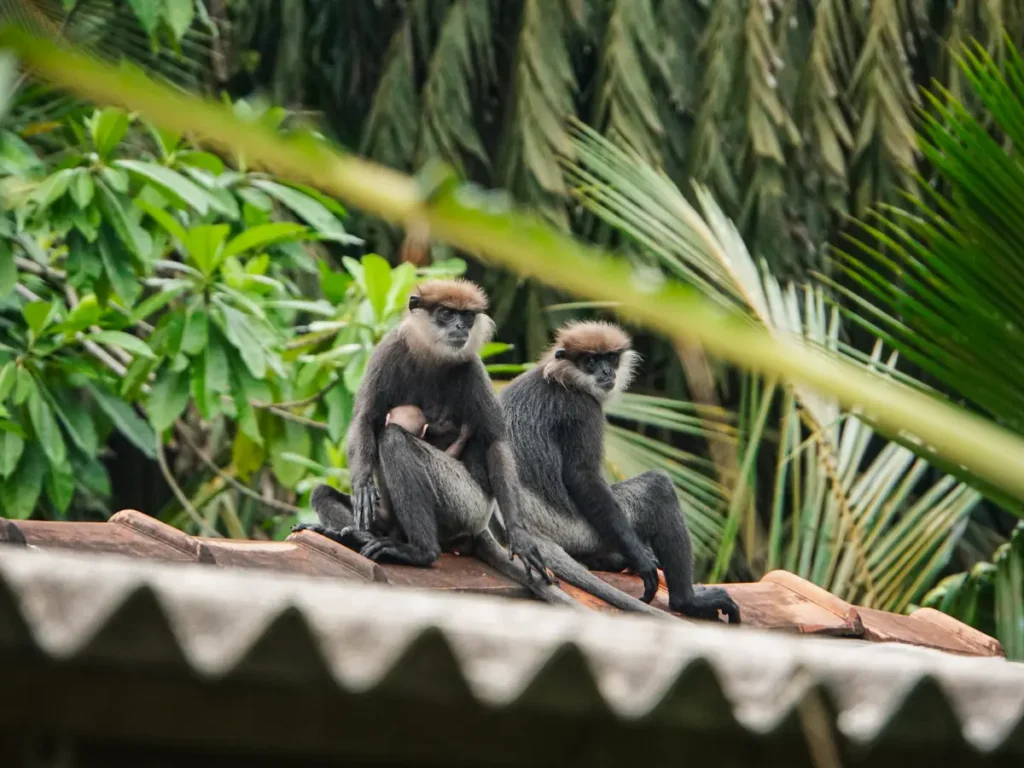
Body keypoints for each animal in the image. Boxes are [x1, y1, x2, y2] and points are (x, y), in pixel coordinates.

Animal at [293, 279, 578, 608]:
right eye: (446, 313)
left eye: (467, 316)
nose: (460, 327)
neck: (431, 355)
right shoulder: (389, 349)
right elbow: (365, 419)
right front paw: (363, 483)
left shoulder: (472, 367)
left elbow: (495, 443)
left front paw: (520, 536)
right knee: (323, 491)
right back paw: (353, 535)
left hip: (466, 504)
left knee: (394, 441)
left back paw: (419, 552)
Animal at [497, 320, 741, 624]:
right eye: (591, 361)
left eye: (611, 358)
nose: (606, 372)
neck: (560, 378)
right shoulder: (583, 408)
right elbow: (583, 476)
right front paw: (642, 560)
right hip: (578, 530)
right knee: (658, 487)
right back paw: (687, 601)